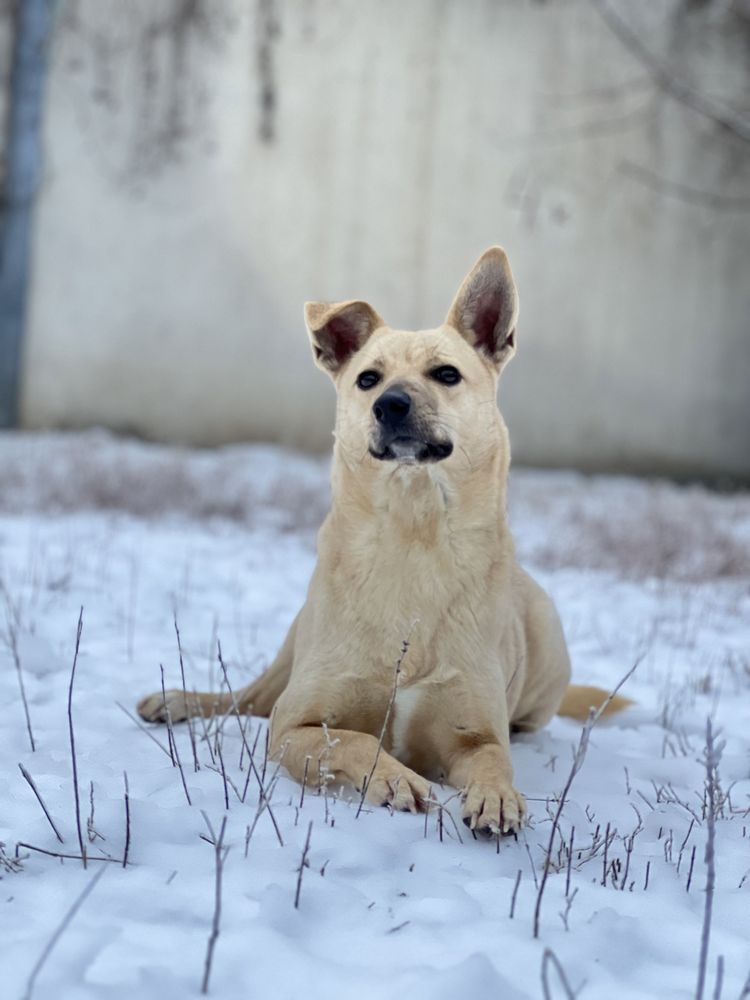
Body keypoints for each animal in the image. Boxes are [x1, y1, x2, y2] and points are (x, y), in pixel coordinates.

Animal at [137, 250, 628, 836]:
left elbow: (492, 760)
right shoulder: (293, 726)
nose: (390, 404)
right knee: (241, 700)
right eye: (368, 379)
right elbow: (352, 740)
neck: (413, 532)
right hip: (287, 661)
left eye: (447, 374)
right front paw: (394, 779)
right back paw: (174, 701)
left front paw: (496, 798)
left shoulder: (475, 733)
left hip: (548, 643)